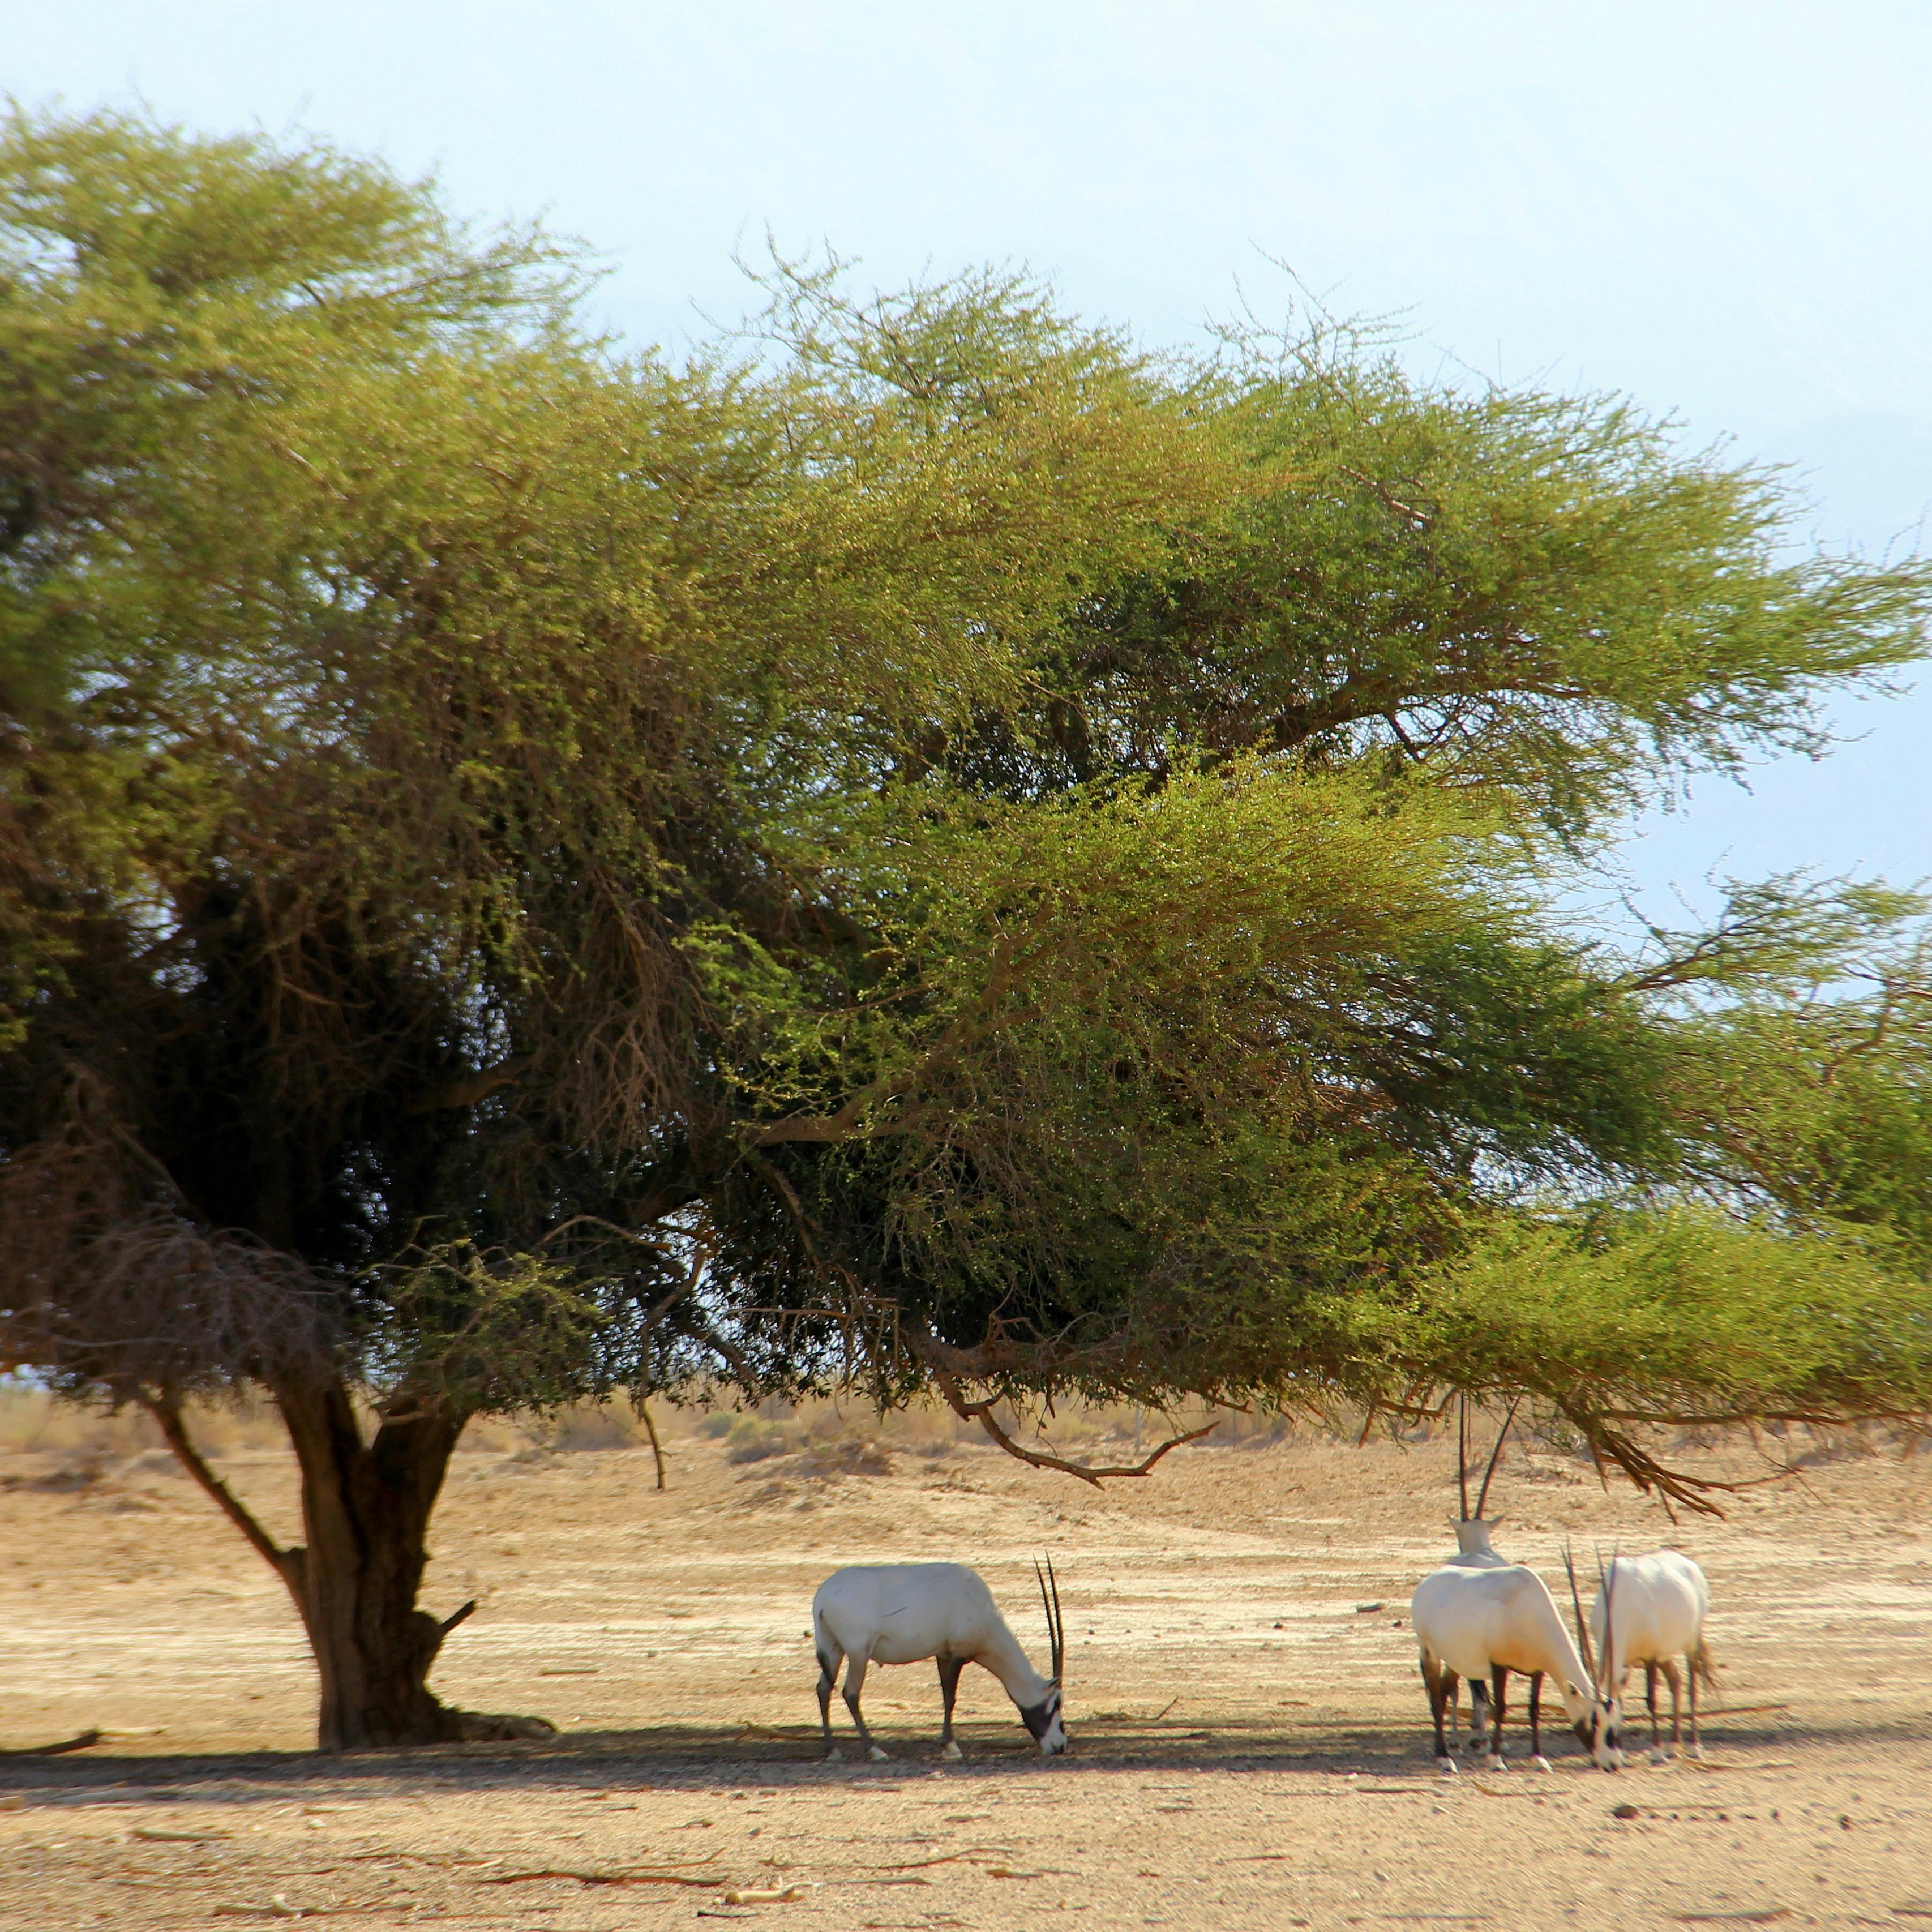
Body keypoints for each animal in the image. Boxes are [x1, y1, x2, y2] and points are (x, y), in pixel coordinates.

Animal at [811, 1558, 1068, 1762]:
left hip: (835, 1650)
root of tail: (823, 1598)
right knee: (850, 1693)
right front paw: (951, 1747)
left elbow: (946, 1696)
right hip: (859, 1653)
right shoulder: (956, 1656)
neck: (983, 1610)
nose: (1060, 1746)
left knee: (823, 1689)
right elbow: (950, 1698)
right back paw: (875, 1750)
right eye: (1056, 1702)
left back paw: (832, 1750)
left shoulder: (942, 1655)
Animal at [1411, 1555, 1622, 1773]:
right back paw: (1444, 1758)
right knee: (1436, 1699)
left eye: (1615, 1720)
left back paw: (1452, 1749)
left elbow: (1534, 1709)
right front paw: (1496, 1759)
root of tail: (1428, 1583)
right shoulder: (1498, 1663)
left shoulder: (1538, 1670)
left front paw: (1538, 1759)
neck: (1528, 1608)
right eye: (1594, 1720)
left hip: (1456, 1661)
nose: (1613, 1763)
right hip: (1429, 1651)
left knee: (1445, 1692)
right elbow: (1500, 1708)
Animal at [1583, 1549, 1715, 1762]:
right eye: (1591, 1723)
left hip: (1690, 1643)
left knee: (1692, 1687)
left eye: (1607, 1727)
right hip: (1664, 1654)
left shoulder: (1650, 1657)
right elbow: (1619, 1700)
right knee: (1675, 1682)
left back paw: (1694, 1746)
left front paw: (1657, 1752)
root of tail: (1690, 1564)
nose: (1604, 1759)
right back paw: (1674, 1745)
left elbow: (1652, 1700)